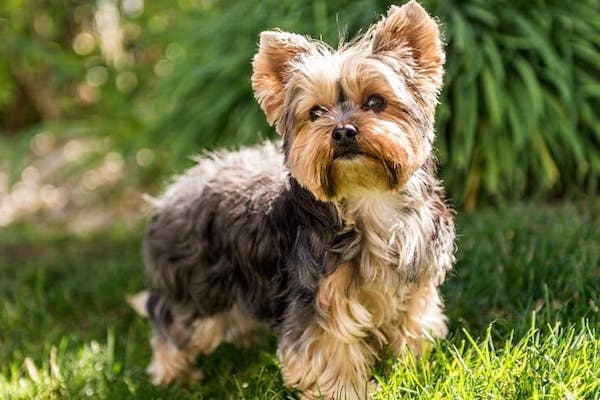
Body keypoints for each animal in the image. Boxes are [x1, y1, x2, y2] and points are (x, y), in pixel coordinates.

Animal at [127, 1, 454, 398]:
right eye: (315, 113)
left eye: (376, 102)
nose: (343, 132)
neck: (368, 198)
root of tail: (169, 194)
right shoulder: (318, 297)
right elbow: (330, 351)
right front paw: (349, 391)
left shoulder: (415, 282)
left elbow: (412, 323)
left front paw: (411, 368)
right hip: (197, 285)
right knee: (171, 320)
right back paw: (172, 375)